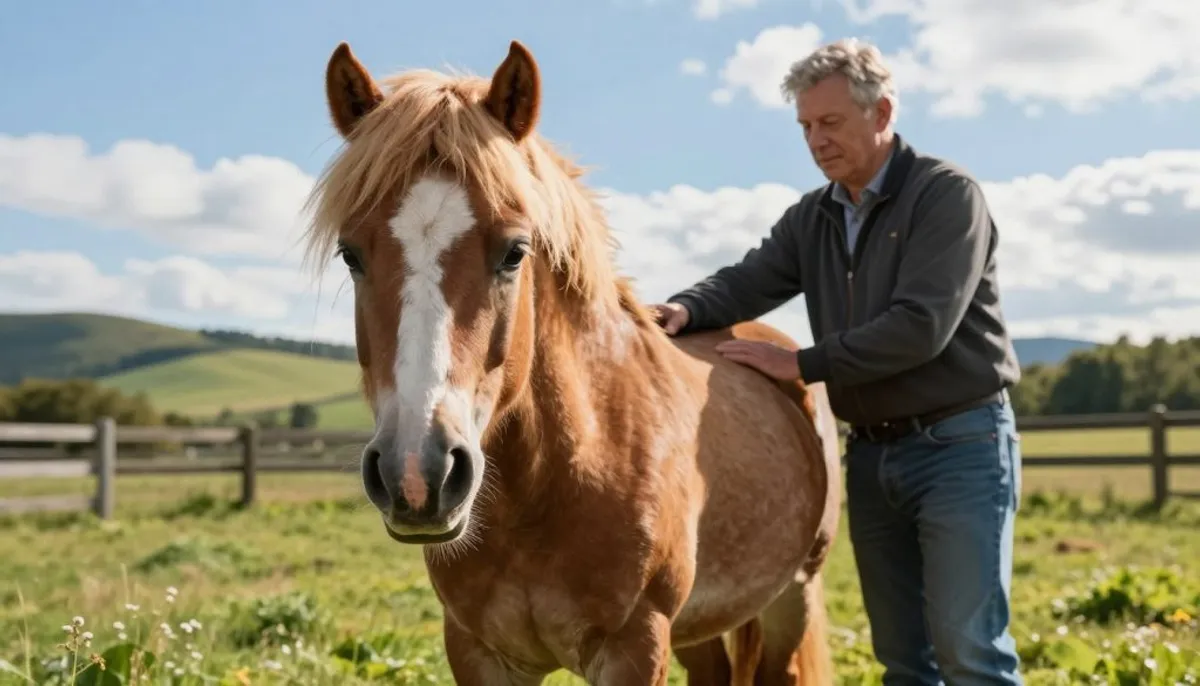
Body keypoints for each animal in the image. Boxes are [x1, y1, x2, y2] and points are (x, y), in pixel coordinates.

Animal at [302, 39, 843, 685]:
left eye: (514, 252)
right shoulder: (478, 651)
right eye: (350, 254)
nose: (416, 474)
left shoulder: (636, 647)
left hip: (795, 595)